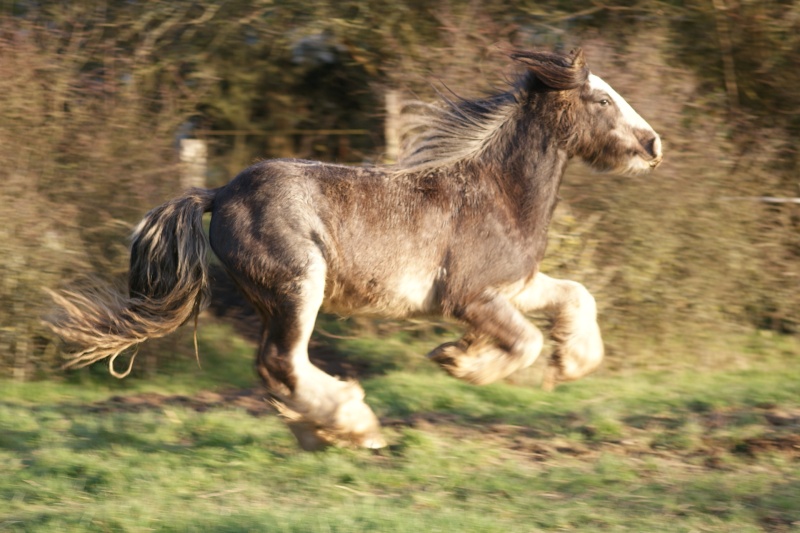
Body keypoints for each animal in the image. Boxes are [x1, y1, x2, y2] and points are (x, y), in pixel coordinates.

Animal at [48, 48, 664, 448]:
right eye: (603, 99)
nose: (654, 144)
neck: (497, 193)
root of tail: (218, 192)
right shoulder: (470, 298)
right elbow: (525, 342)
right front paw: (459, 360)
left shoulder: (515, 285)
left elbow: (575, 296)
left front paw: (570, 363)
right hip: (300, 286)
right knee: (283, 362)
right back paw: (354, 424)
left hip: (276, 299)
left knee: (271, 368)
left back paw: (319, 432)